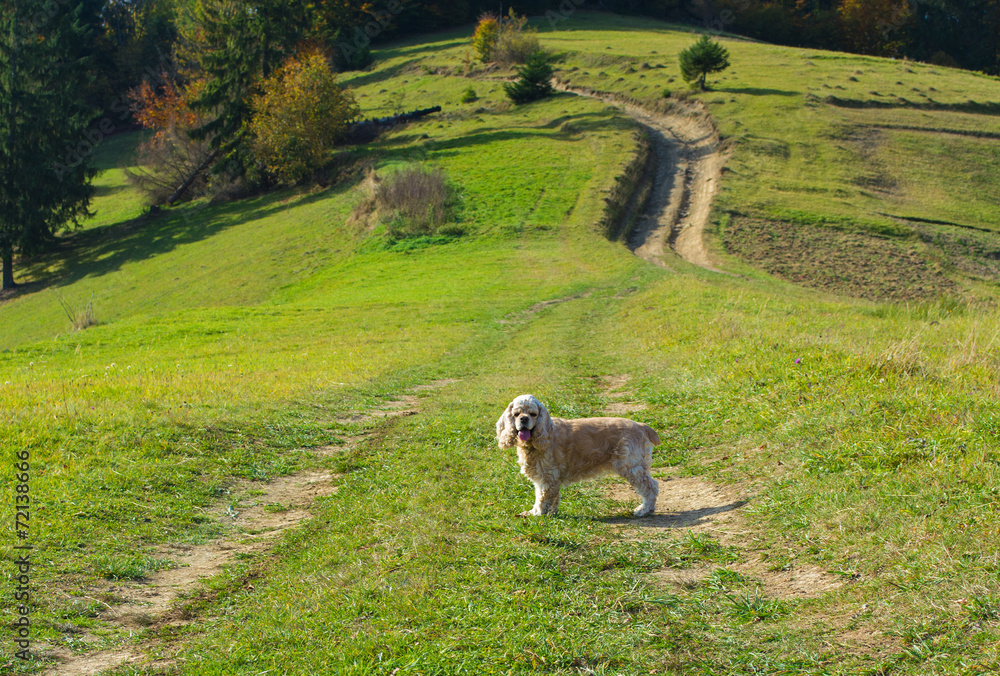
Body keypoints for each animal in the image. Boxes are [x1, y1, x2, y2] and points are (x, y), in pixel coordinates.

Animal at [496, 394, 660, 516]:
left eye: (533, 414)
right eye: (516, 414)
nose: (523, 419)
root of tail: (641, 426)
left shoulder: (548, 476)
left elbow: (542, 498)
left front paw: (536, 514)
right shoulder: (547, 478)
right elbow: (551, 497)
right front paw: (549, 513)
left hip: (631, 466)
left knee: (650, 487)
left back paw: (644, 510)